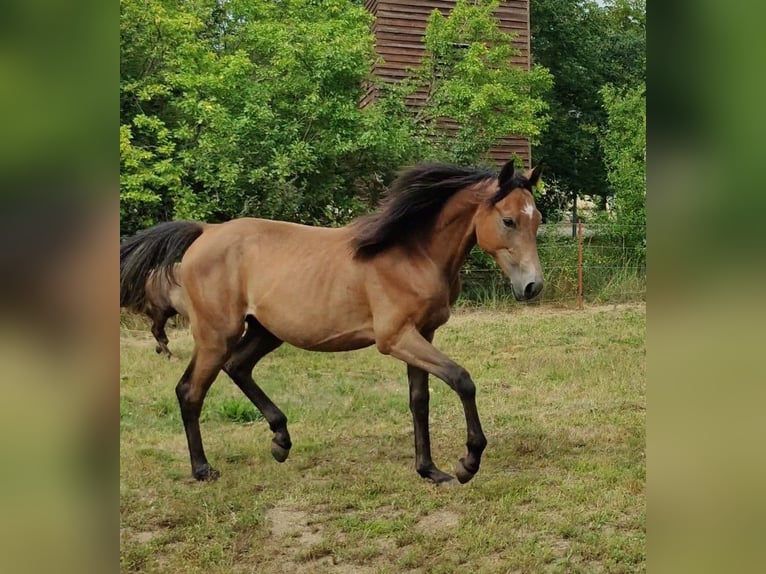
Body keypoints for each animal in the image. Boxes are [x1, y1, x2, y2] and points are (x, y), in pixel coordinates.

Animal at [120, 161, 544, 486]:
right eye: (508, 220)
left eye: (537, 219)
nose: (532, 286)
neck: (413, 254)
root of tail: (205, 232)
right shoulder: (396, 338)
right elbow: (461, 379)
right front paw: (467, 463)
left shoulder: (422, 334)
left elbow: (419, 401)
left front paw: (430, 470)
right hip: (216, 334)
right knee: (190, 391)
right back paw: (203, 469)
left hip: (264, 331)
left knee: (236, 367)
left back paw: (281, 440)